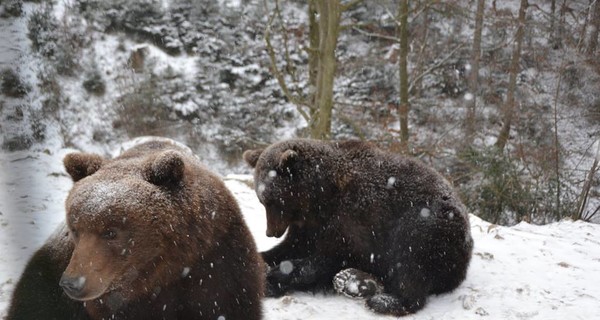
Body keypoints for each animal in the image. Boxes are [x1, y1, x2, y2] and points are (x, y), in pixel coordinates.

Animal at [244, 139, 474, 316]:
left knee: (411, 263)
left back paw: (384, 301)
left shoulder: (358, 218)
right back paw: (355, 281)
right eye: (262, 200)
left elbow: (330, 257)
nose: (270, 232)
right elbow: (290, 248)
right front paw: (262, 260)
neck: (320, 200)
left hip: (429, 225)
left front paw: (274, 279)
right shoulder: (310, 227)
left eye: (273, 201)